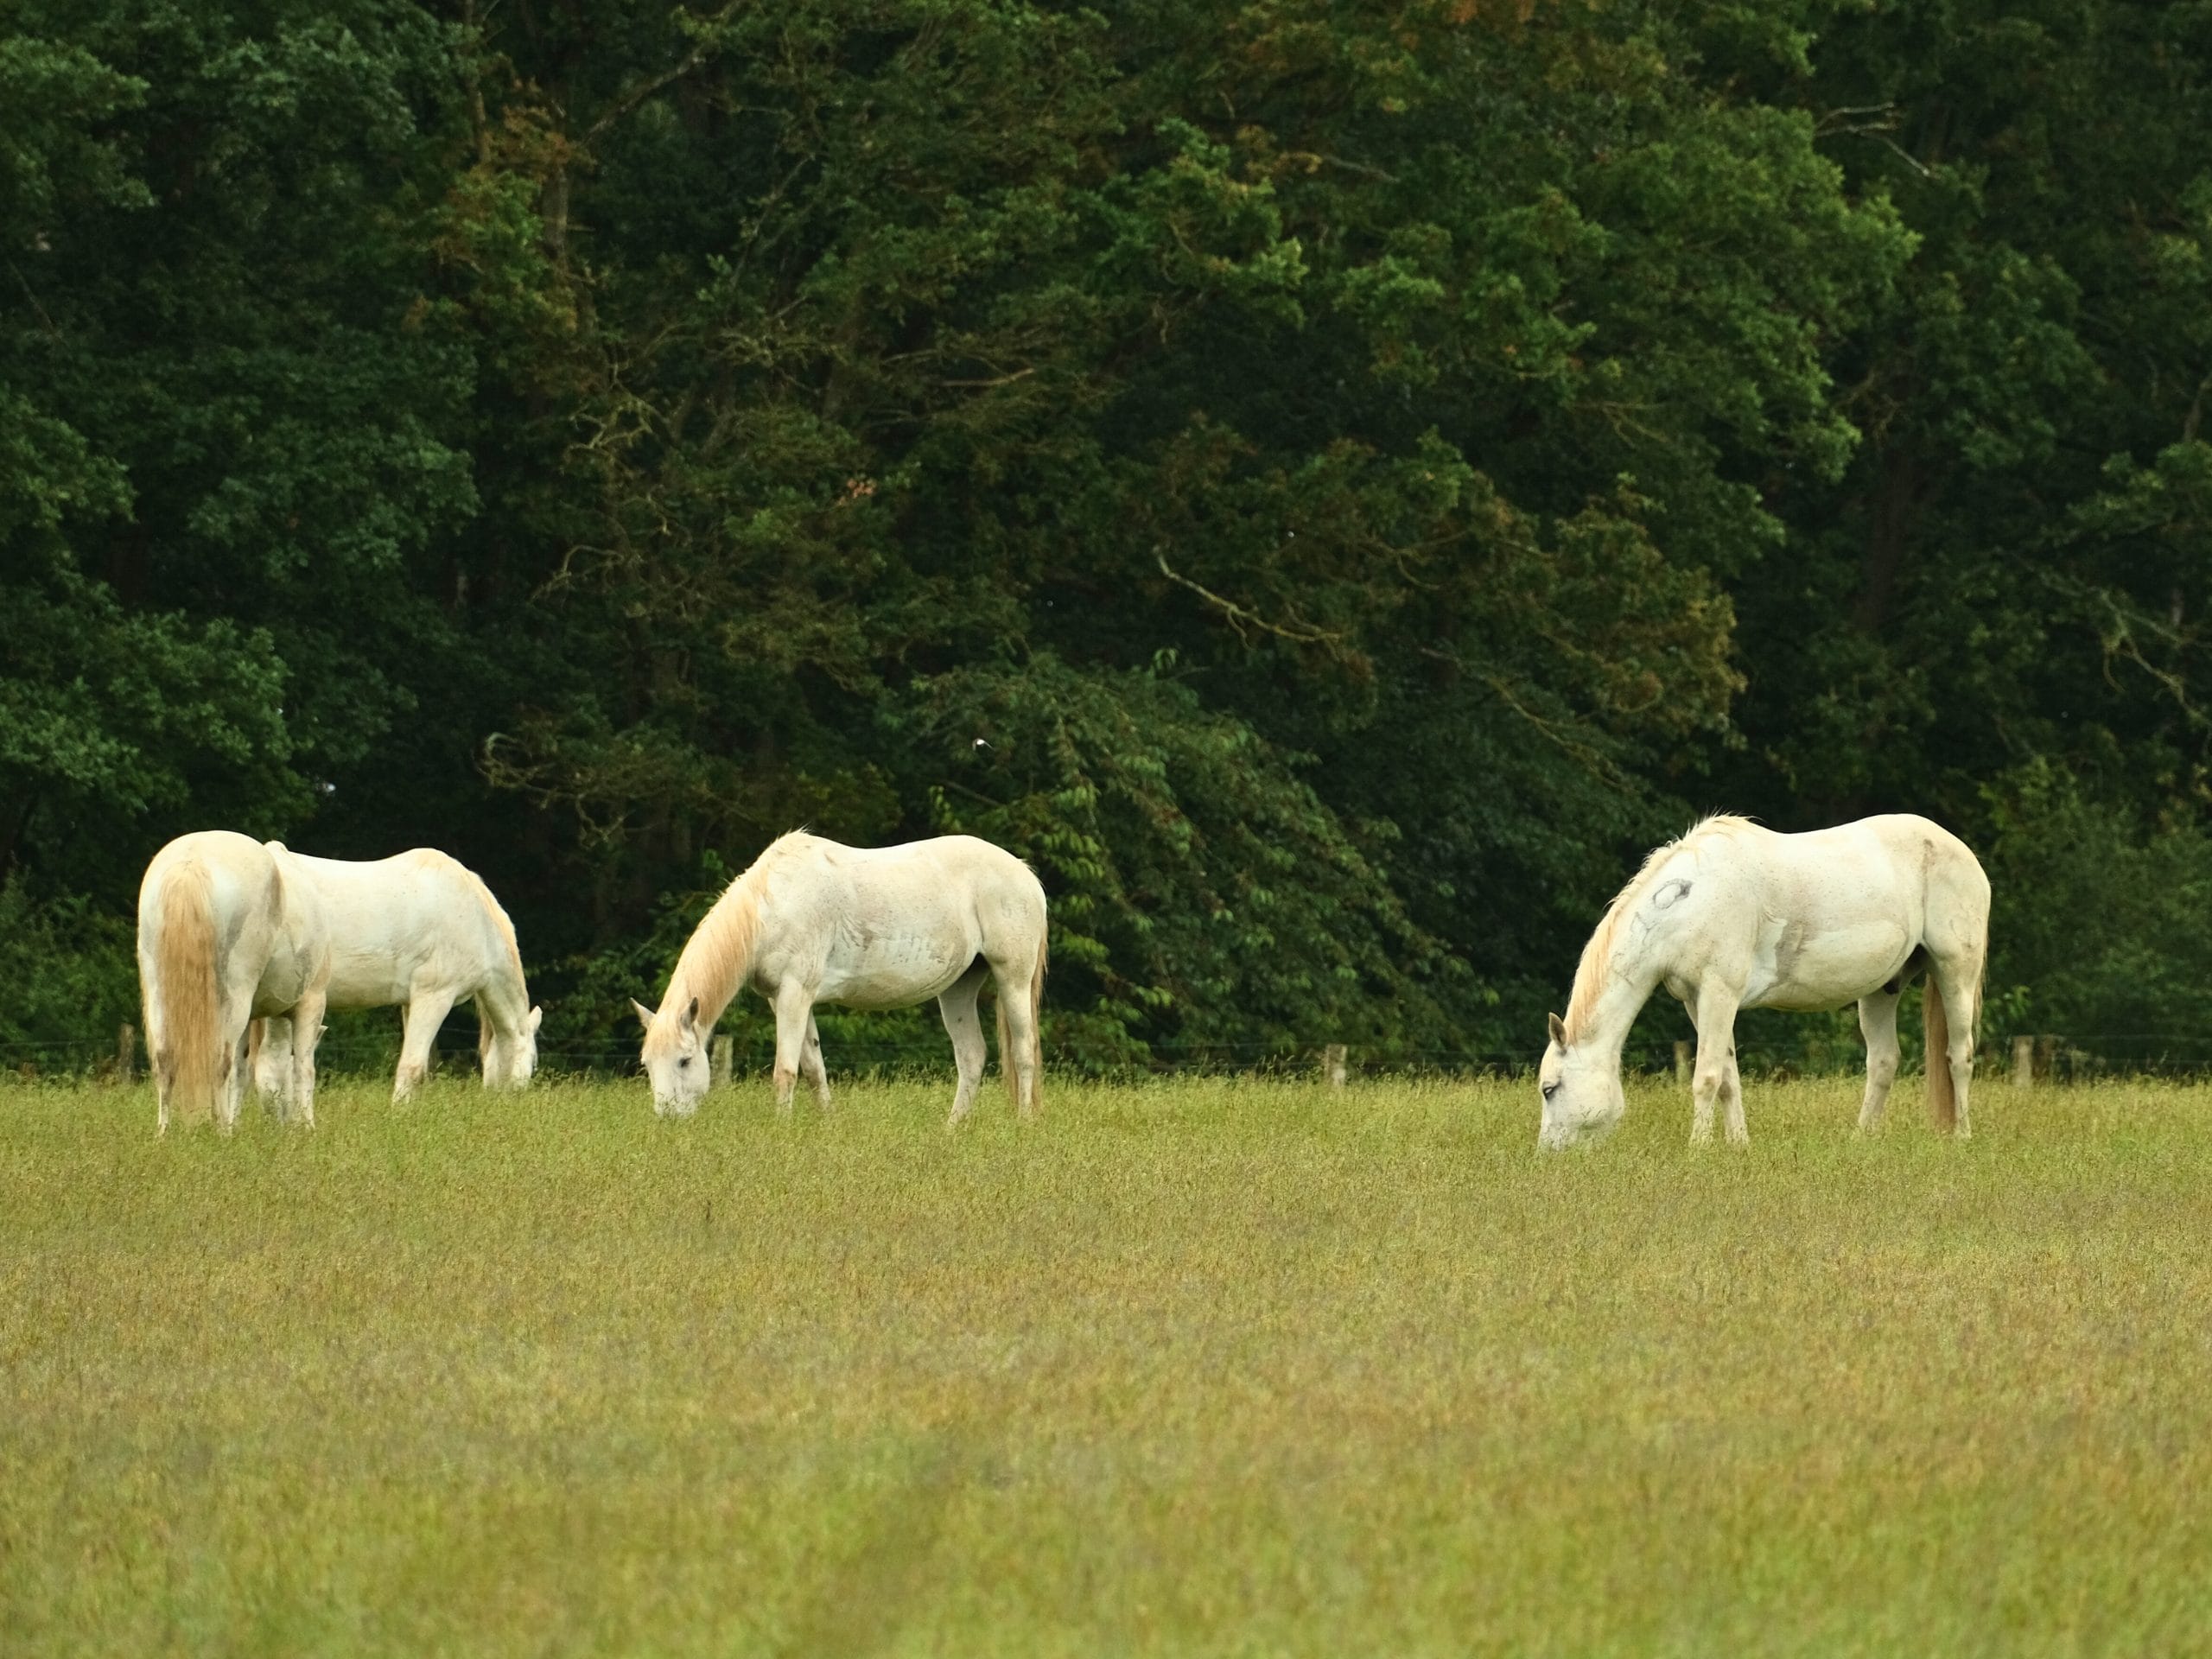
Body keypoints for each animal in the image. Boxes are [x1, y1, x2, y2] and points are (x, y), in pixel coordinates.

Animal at [138, 836, 334, 1141]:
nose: (283, 1126)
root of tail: (191, 862)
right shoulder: (311, 1003)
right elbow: (304, 1067)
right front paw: (307, 1128)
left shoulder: (251, 1017)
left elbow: (241, 1073)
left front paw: (234, 1122)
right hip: (234, 998)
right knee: (219, 1062)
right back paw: (222, 1134)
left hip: (159, 991)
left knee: (165, 1060)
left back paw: (165, 1133)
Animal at [637, 831, 1048, 1132]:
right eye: (647, 1064)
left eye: (685, 1061)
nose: (667, 1122)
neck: (774, 906)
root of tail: (1025, 873)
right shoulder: (788, 999)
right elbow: (813, 1068)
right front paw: (827, 1125)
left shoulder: (794, 995)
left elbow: (785, 1071)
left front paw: (780, 1132)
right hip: (958, 988)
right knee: (972, 1056)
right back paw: (952, 1129)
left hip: (1013, 978)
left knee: (1023, 1051)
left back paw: (1024, 1125)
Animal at [1539, 814, 1991, 1150]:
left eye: (1549, 1089)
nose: (1548, 1156)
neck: (1690, 901)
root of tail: (1964, 853)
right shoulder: (1697, 1001)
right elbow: (1728, 1077)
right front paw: (1739, 1145)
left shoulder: (1719, 993)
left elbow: (1706, 1077)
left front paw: (1697, 1150)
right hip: (1883, 988)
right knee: (1883, 1061)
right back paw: (1861, 1140)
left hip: (1956, 972)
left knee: (1959, 1055)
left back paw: (1963, 1138)